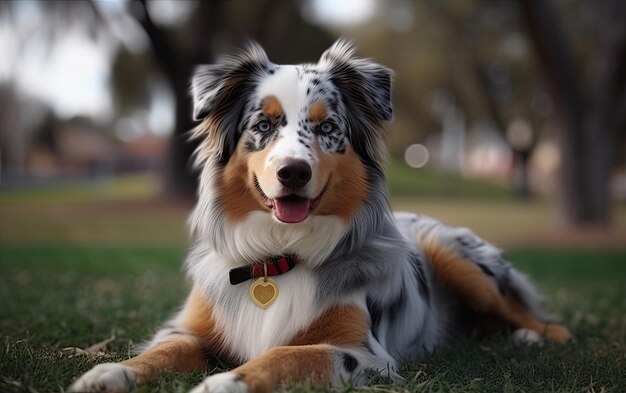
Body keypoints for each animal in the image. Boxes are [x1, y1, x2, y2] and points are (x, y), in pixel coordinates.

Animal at [68, 40, 572, 392]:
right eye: (263, 125)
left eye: (327, 127)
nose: (293, 171)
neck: (276, 255)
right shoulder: (190, 330)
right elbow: (159, 354)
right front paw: (108, 373)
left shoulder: (363, 354)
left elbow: (287, 356)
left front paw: (226, 381)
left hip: (457, 257)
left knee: (534, 315)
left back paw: (534, 337)